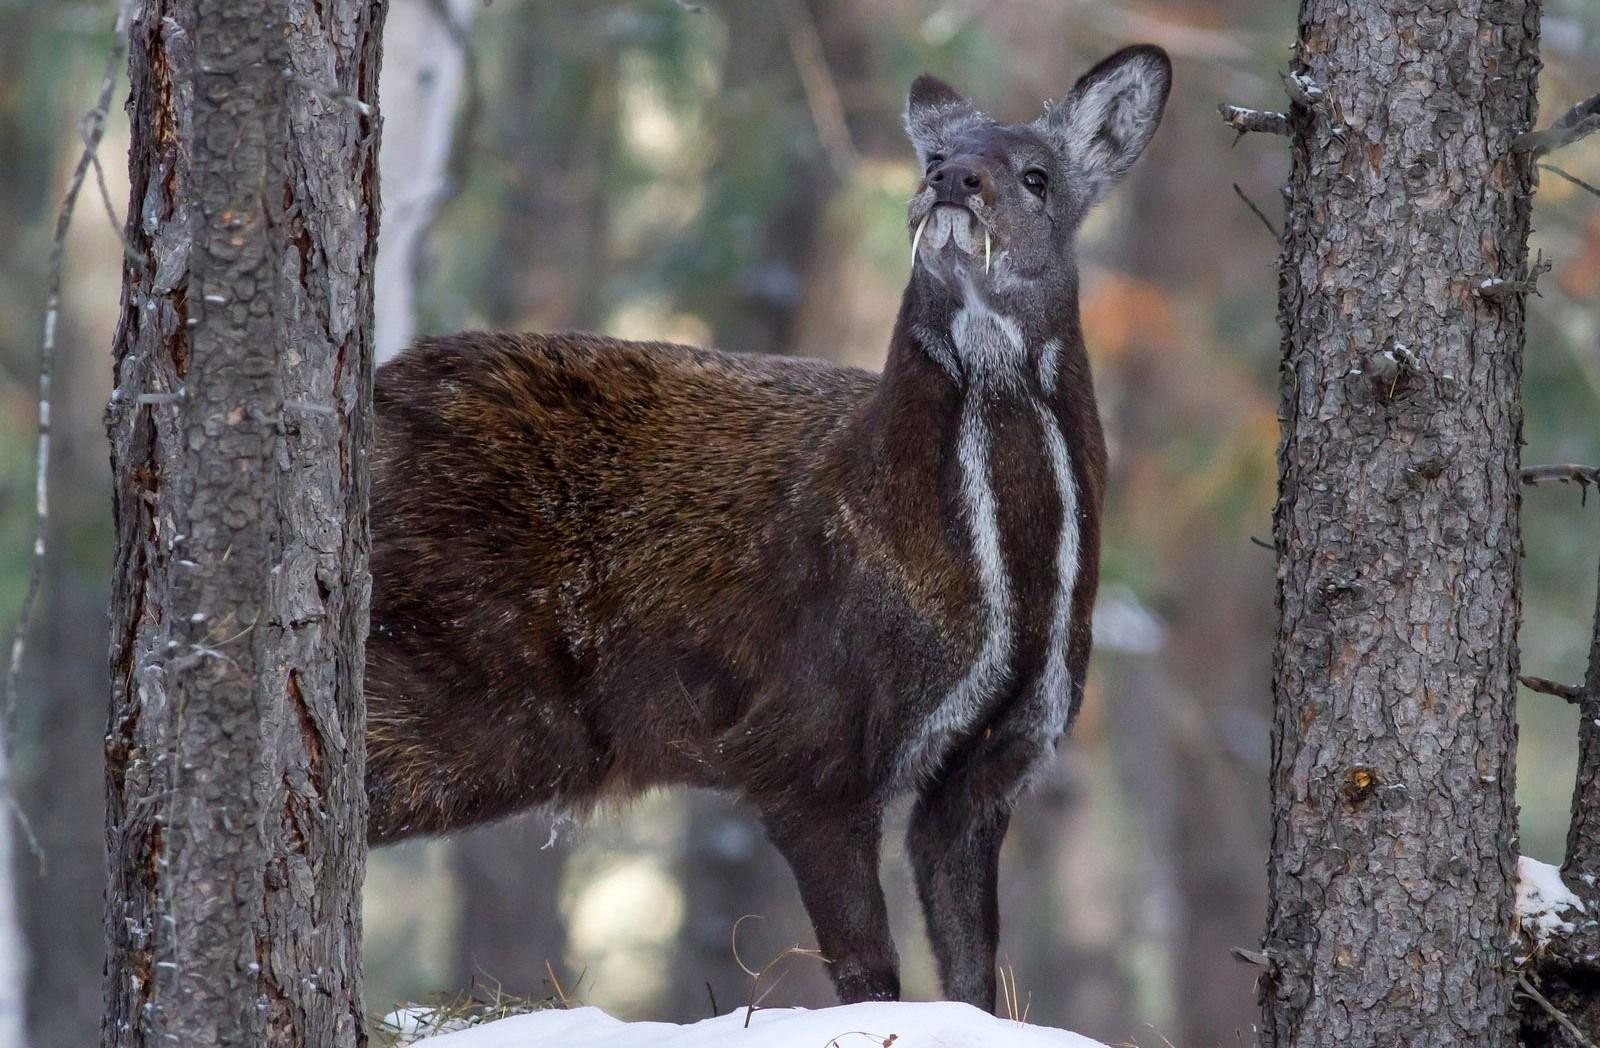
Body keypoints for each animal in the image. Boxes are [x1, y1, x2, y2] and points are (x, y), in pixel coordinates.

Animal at [368, 45, 1171, 1011]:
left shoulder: (999, 758)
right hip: (463, 679)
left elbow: (973, 968)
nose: (950, 180)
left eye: (1037, 175)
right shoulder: (804, 738)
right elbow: (868, 973)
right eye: (934, 157)